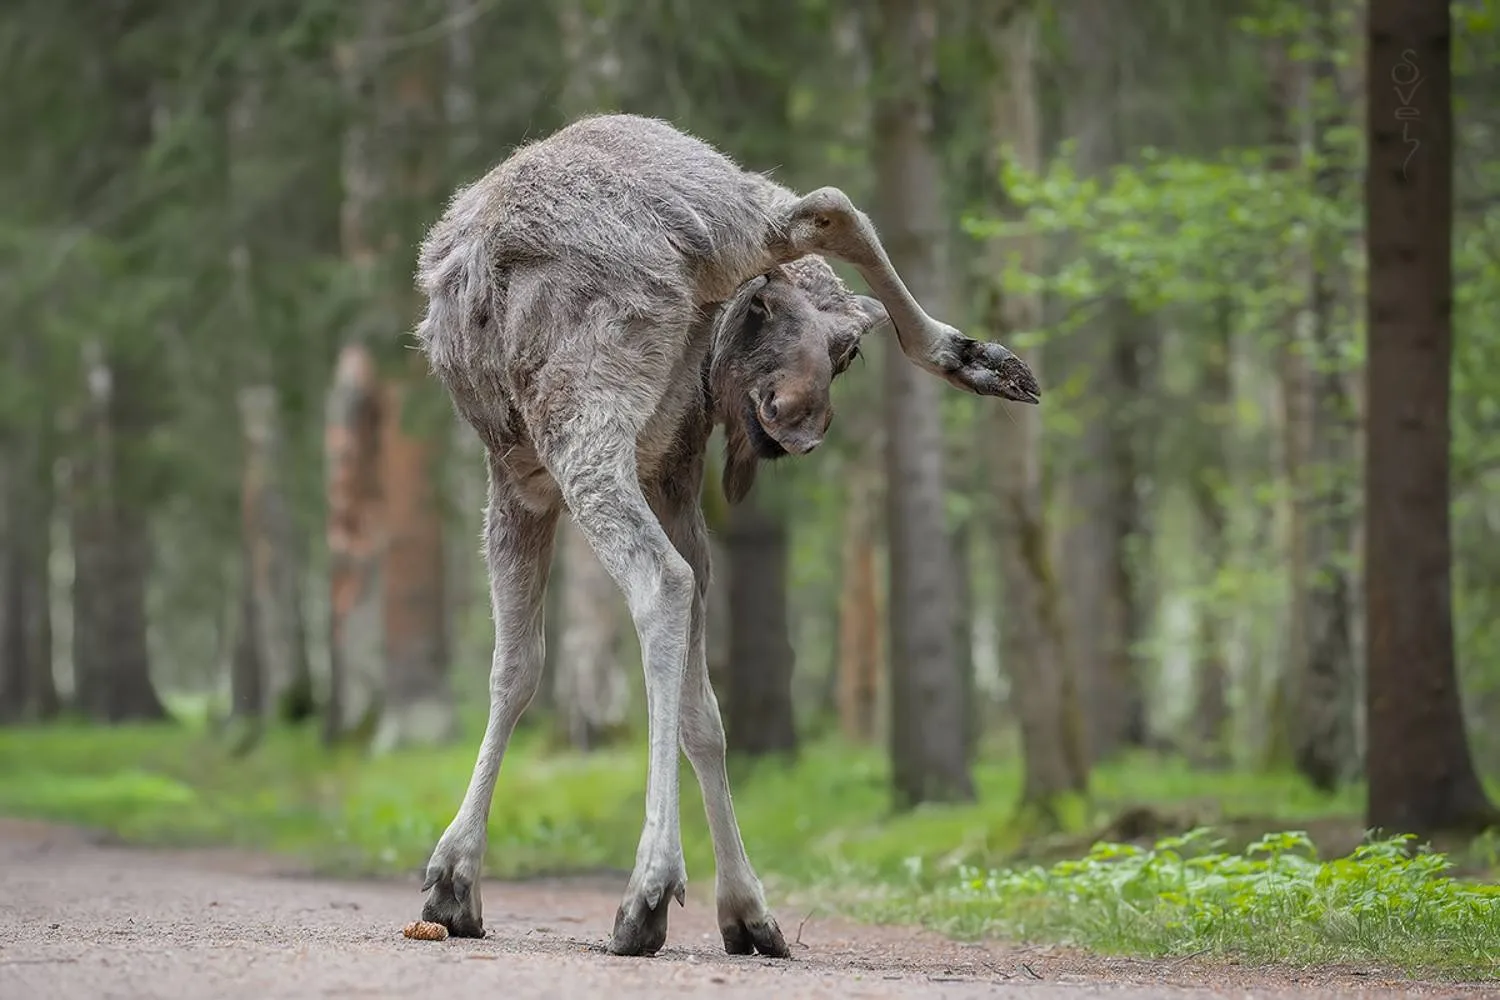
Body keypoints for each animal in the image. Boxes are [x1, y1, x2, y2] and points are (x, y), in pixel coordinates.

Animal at [411, 113, 1040, 960]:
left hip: (577, 419)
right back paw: (972, 355)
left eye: (846, 356)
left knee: (659, 582)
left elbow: (515, 671)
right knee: (824, 206)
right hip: (741, 234)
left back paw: (648, 885)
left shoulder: (517, 481)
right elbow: (703, 711)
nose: (801, 427)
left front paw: (455, 878)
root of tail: (686, 241)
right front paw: (745, 905)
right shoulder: (676, 476)